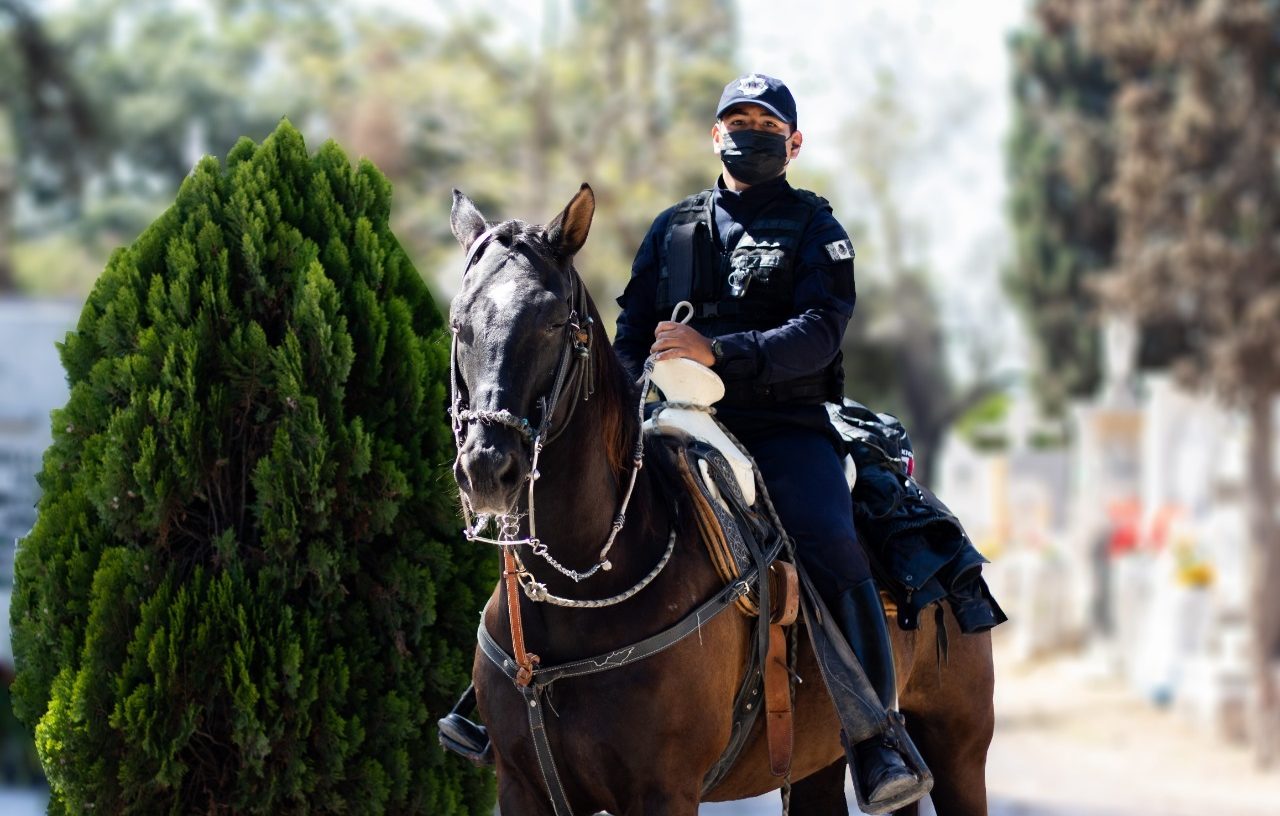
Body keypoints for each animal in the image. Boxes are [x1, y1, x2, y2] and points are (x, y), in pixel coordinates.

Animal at [450, 185, 998, 816]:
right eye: (459, 322)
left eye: (552, 321)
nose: (487, 467)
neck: (579, 595)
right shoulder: (521, 787)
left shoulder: (664, 792)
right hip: (817, 765)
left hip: (959, 747)